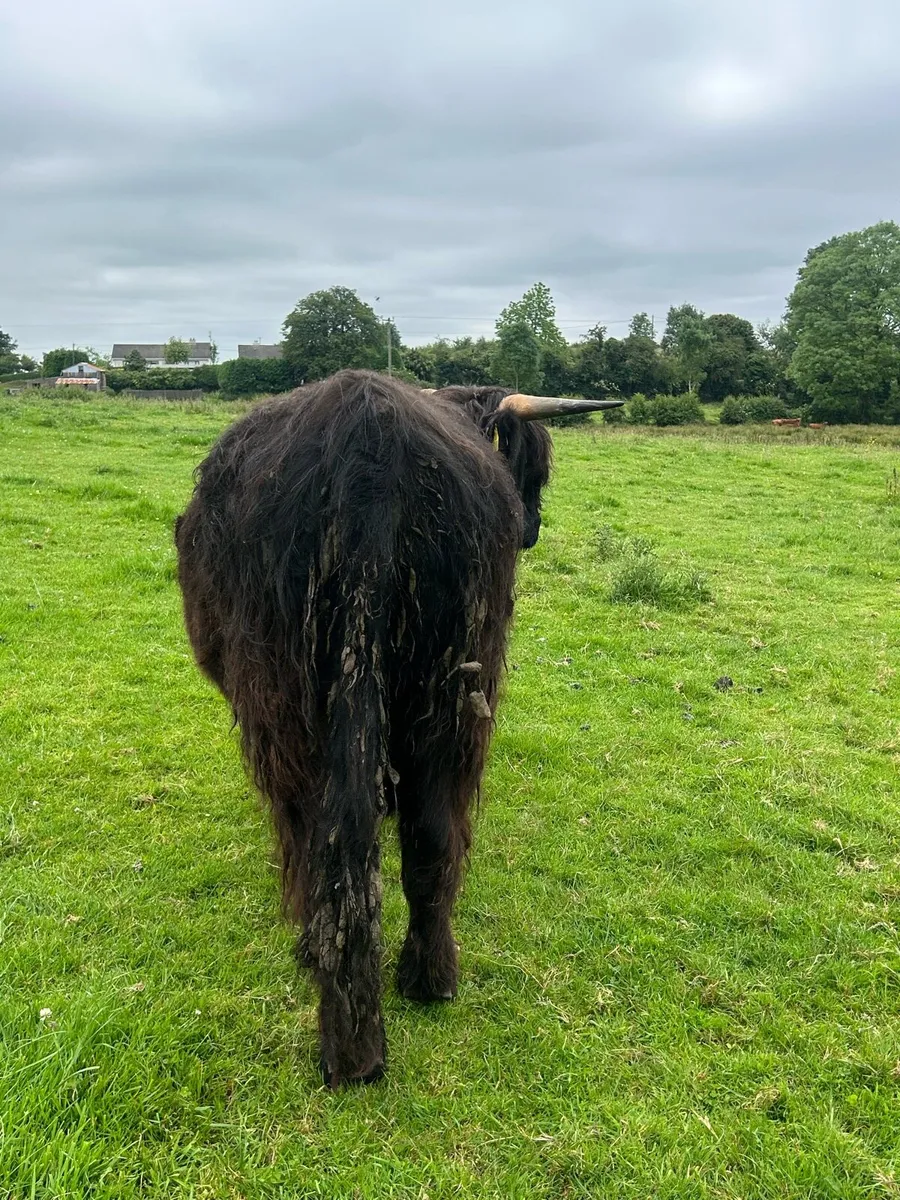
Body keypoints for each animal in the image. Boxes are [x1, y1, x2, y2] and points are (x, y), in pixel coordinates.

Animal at [174, 369, 621, 1087]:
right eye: (533, 467)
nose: (531, 527)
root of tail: (369, 452)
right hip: (450, 689)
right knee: (430, 834)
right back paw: (428, 979)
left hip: (289, 705)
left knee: (319, 831)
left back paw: (336, 996)